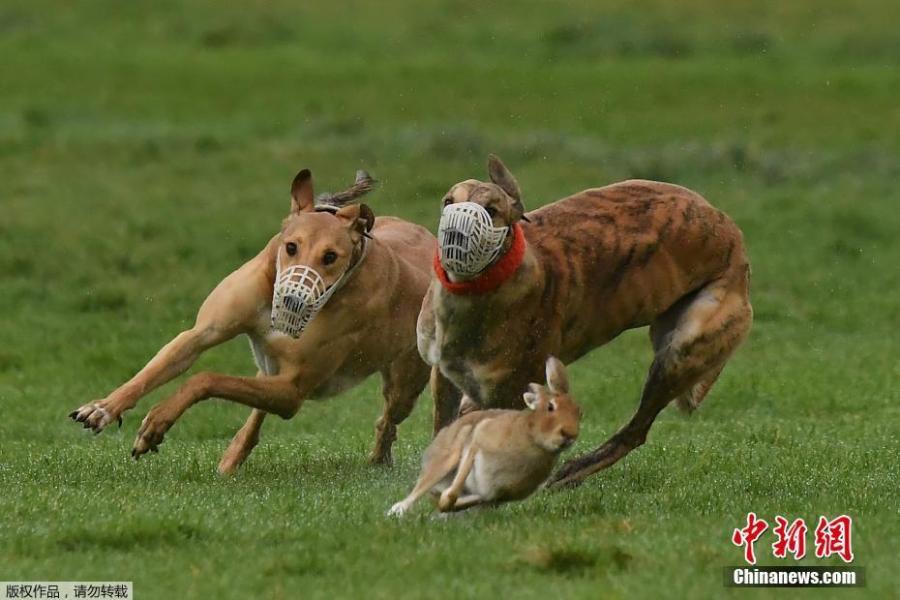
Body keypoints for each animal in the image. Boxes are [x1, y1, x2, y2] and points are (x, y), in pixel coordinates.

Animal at [387, 356, 581, 516]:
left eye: (579, 412)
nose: (570, 433)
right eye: (550, 407)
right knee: (420, 488)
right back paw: (397, 510)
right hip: (443, 462)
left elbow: (472, 499)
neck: (531, 437)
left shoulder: (495, 494)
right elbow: (456, 485)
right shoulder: (477, 440)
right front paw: (446, 497)